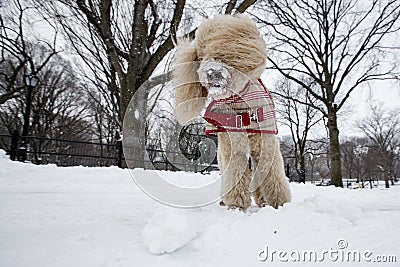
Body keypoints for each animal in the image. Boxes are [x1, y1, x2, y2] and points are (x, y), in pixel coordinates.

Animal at [172, 14, 290, 210]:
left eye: (226, 55)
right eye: (201, 55)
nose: (212, 72)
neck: (238, 100)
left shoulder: (265, 139)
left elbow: (270, 170)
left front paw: (280, 203)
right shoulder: (231, 139)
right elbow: (235, 169)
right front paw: (237, 204)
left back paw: (263, 202)